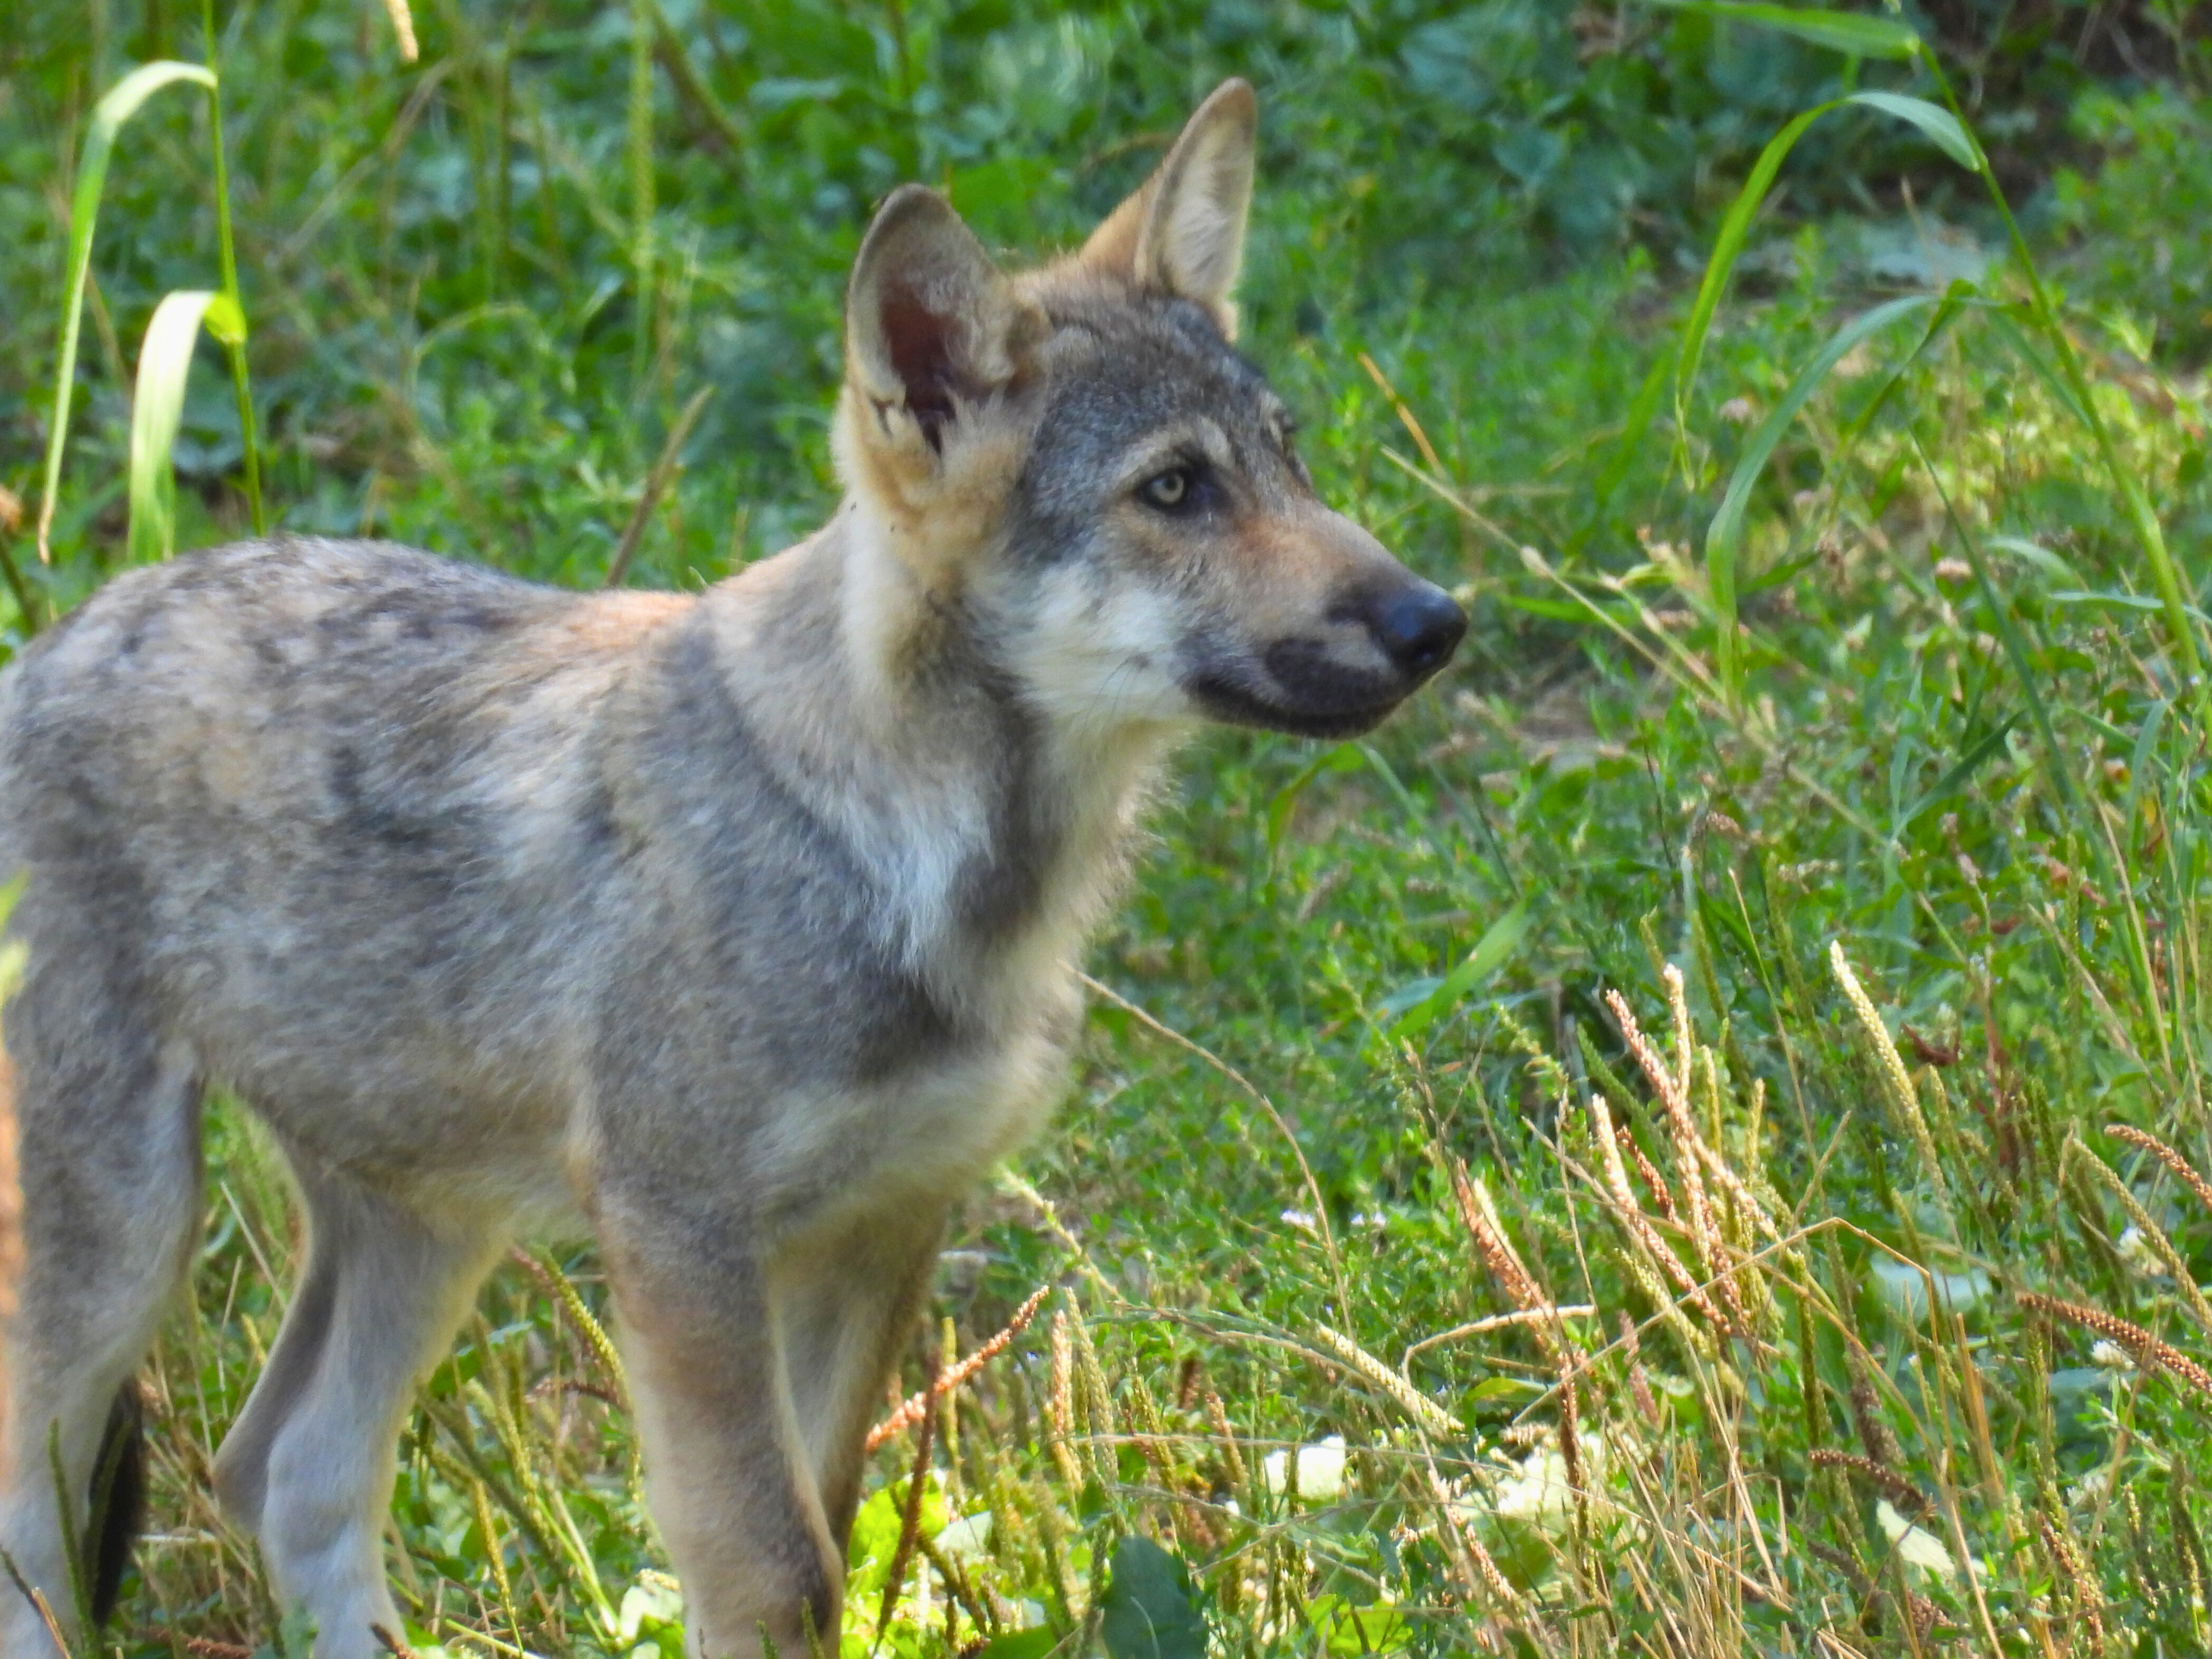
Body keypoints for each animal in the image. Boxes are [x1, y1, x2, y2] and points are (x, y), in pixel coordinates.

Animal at [0, 81, 1469, 1659]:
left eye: (1288, 458)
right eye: (1175, 490)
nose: (1436, 620)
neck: (912, 869)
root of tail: (54, 639)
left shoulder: (887, 1223)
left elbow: (825, 1533)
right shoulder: (681, 1242)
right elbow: (773, 1569)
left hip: (420, 1236)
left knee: (287, 1471)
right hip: (123, 1252)